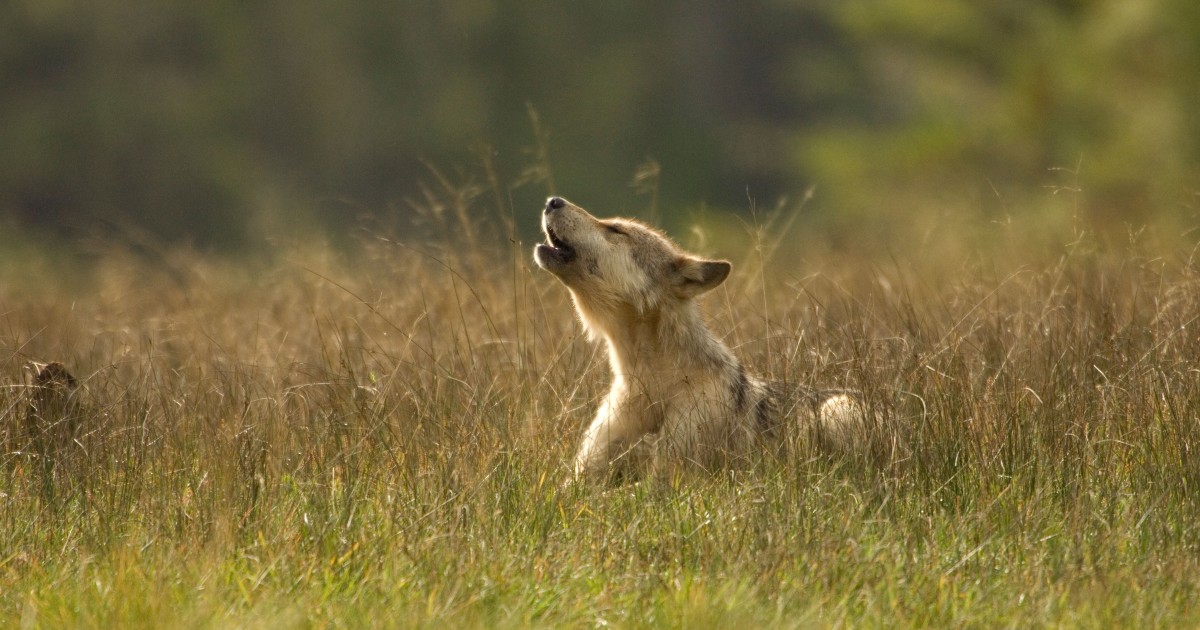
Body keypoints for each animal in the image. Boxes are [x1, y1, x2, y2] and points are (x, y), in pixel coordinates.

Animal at [533, 196, 869, 481]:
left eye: (616, 229)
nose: (552, 201)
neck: (652, 388)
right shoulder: (581, 477)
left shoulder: (671, 478)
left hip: (835, 409)